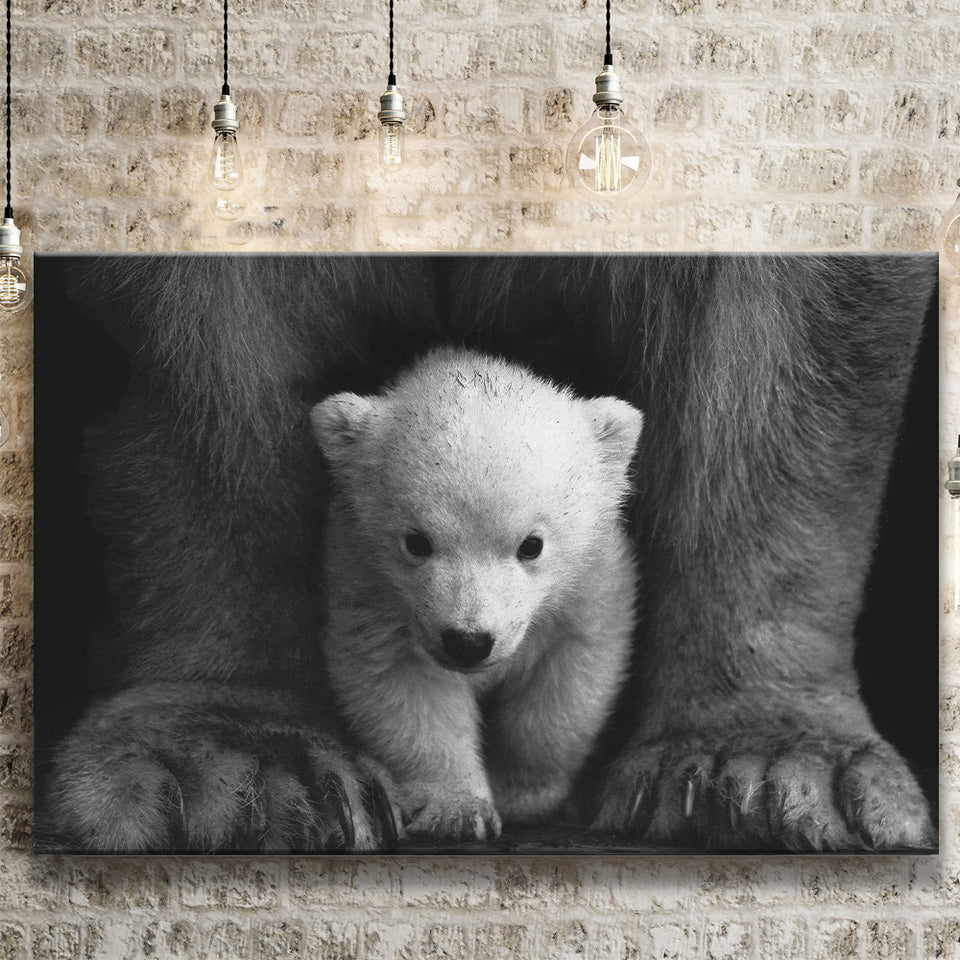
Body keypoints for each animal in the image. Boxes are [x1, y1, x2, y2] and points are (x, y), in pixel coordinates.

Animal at [310, 347, 643, 840]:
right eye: (416, 542)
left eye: (531, 545)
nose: (467, 642)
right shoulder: (368, 586)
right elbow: (404, 686)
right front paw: (458, 810)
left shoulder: (590, 584)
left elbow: (566, 681)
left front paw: (523, 795)